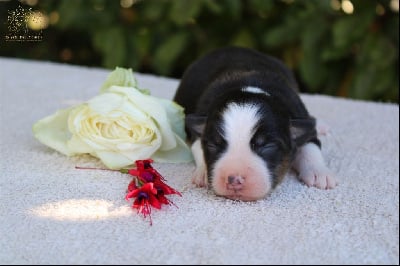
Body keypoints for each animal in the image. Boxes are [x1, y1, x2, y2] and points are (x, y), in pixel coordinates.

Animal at [173, 46, 336, 201]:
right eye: (213, 145)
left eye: (267, 146)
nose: (234, 180)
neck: (250, 85)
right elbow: (197, 146)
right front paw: (203, 173)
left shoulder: (297, 111)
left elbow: (311, 145)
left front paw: (319, 173)